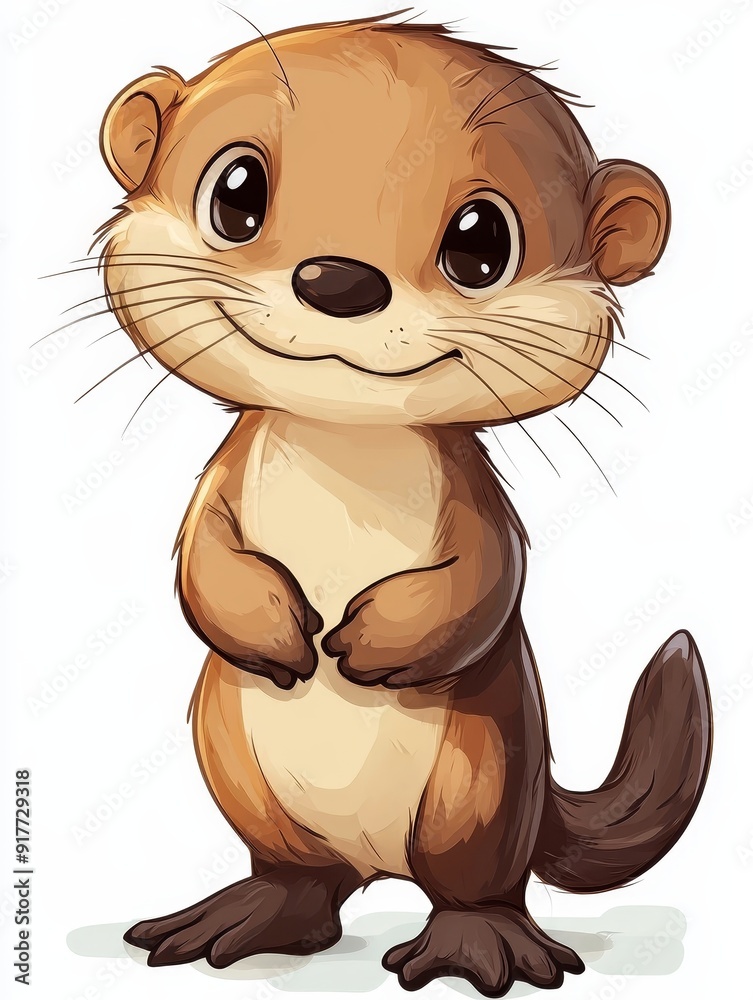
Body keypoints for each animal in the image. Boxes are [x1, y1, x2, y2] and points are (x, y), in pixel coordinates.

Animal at [93, 15, 712, 997]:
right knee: (302, 879)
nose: (338, 279)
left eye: (479, 243)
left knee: (472, 883)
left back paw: (478, 945)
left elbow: (488, 579)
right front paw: (277, 630)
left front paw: (369, 645)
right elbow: (199, 559)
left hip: (480, 785)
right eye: (236, 193)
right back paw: (249, 915)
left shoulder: (480, 505)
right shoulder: (219, 484)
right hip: (239, 770)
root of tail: (376, 862)